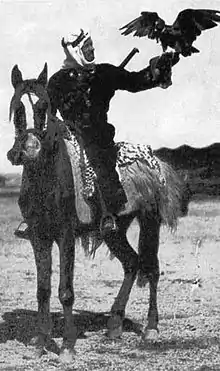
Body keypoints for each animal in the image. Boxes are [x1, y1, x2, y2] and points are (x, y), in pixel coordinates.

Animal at [7, 64, 189, 364]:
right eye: (17, 108)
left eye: (44, 107)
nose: (30, 151)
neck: (47, 178)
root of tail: (157, 162)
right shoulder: (38, 237)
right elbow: (43, 290)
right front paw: (41, 341)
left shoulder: (65, 236)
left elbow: (65, 291)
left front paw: (67, 347)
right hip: (115, 230)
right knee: (131, 263)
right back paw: (114, 324)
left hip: (150, 221)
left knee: (151, 269)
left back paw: (151, 329)